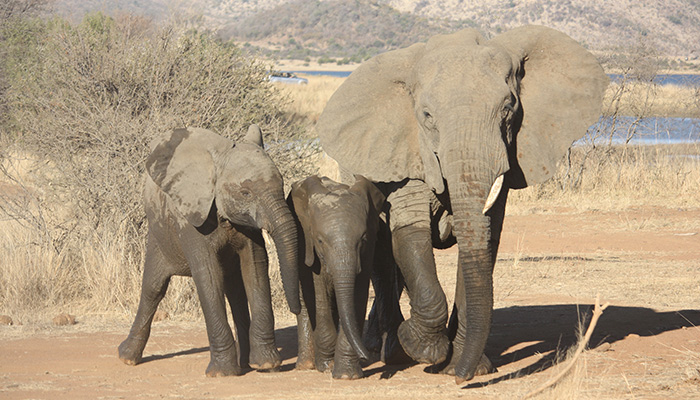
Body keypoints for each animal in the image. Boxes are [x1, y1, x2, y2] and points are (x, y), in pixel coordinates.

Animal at [118, 125, 300, 377]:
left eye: (281, 186)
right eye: (245, 193)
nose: (297, 310)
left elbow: (255, 267)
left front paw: (266, 365)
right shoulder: (191, 218)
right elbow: (208, 273)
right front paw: (222, 373)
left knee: (235, 291)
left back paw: (245, 364)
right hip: (158, 234)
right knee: (153, 288)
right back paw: (126, 358)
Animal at [287, 175, 385, 379]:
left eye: (363, 239)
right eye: (320, 240)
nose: (366, 356)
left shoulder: (367, 251)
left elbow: (357, 295)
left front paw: (347, 375)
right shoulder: (310, 248)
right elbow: (318, 297)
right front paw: (327, 366)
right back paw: (308, 365)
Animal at [315, 25, 608, 383]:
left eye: (508, 109)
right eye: (427, 116)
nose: (460, 380)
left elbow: (484, 242)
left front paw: (465, 365)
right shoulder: (406, 150)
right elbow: (410, 235)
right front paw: (423, 348)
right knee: (383, 258)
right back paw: (391, 349)